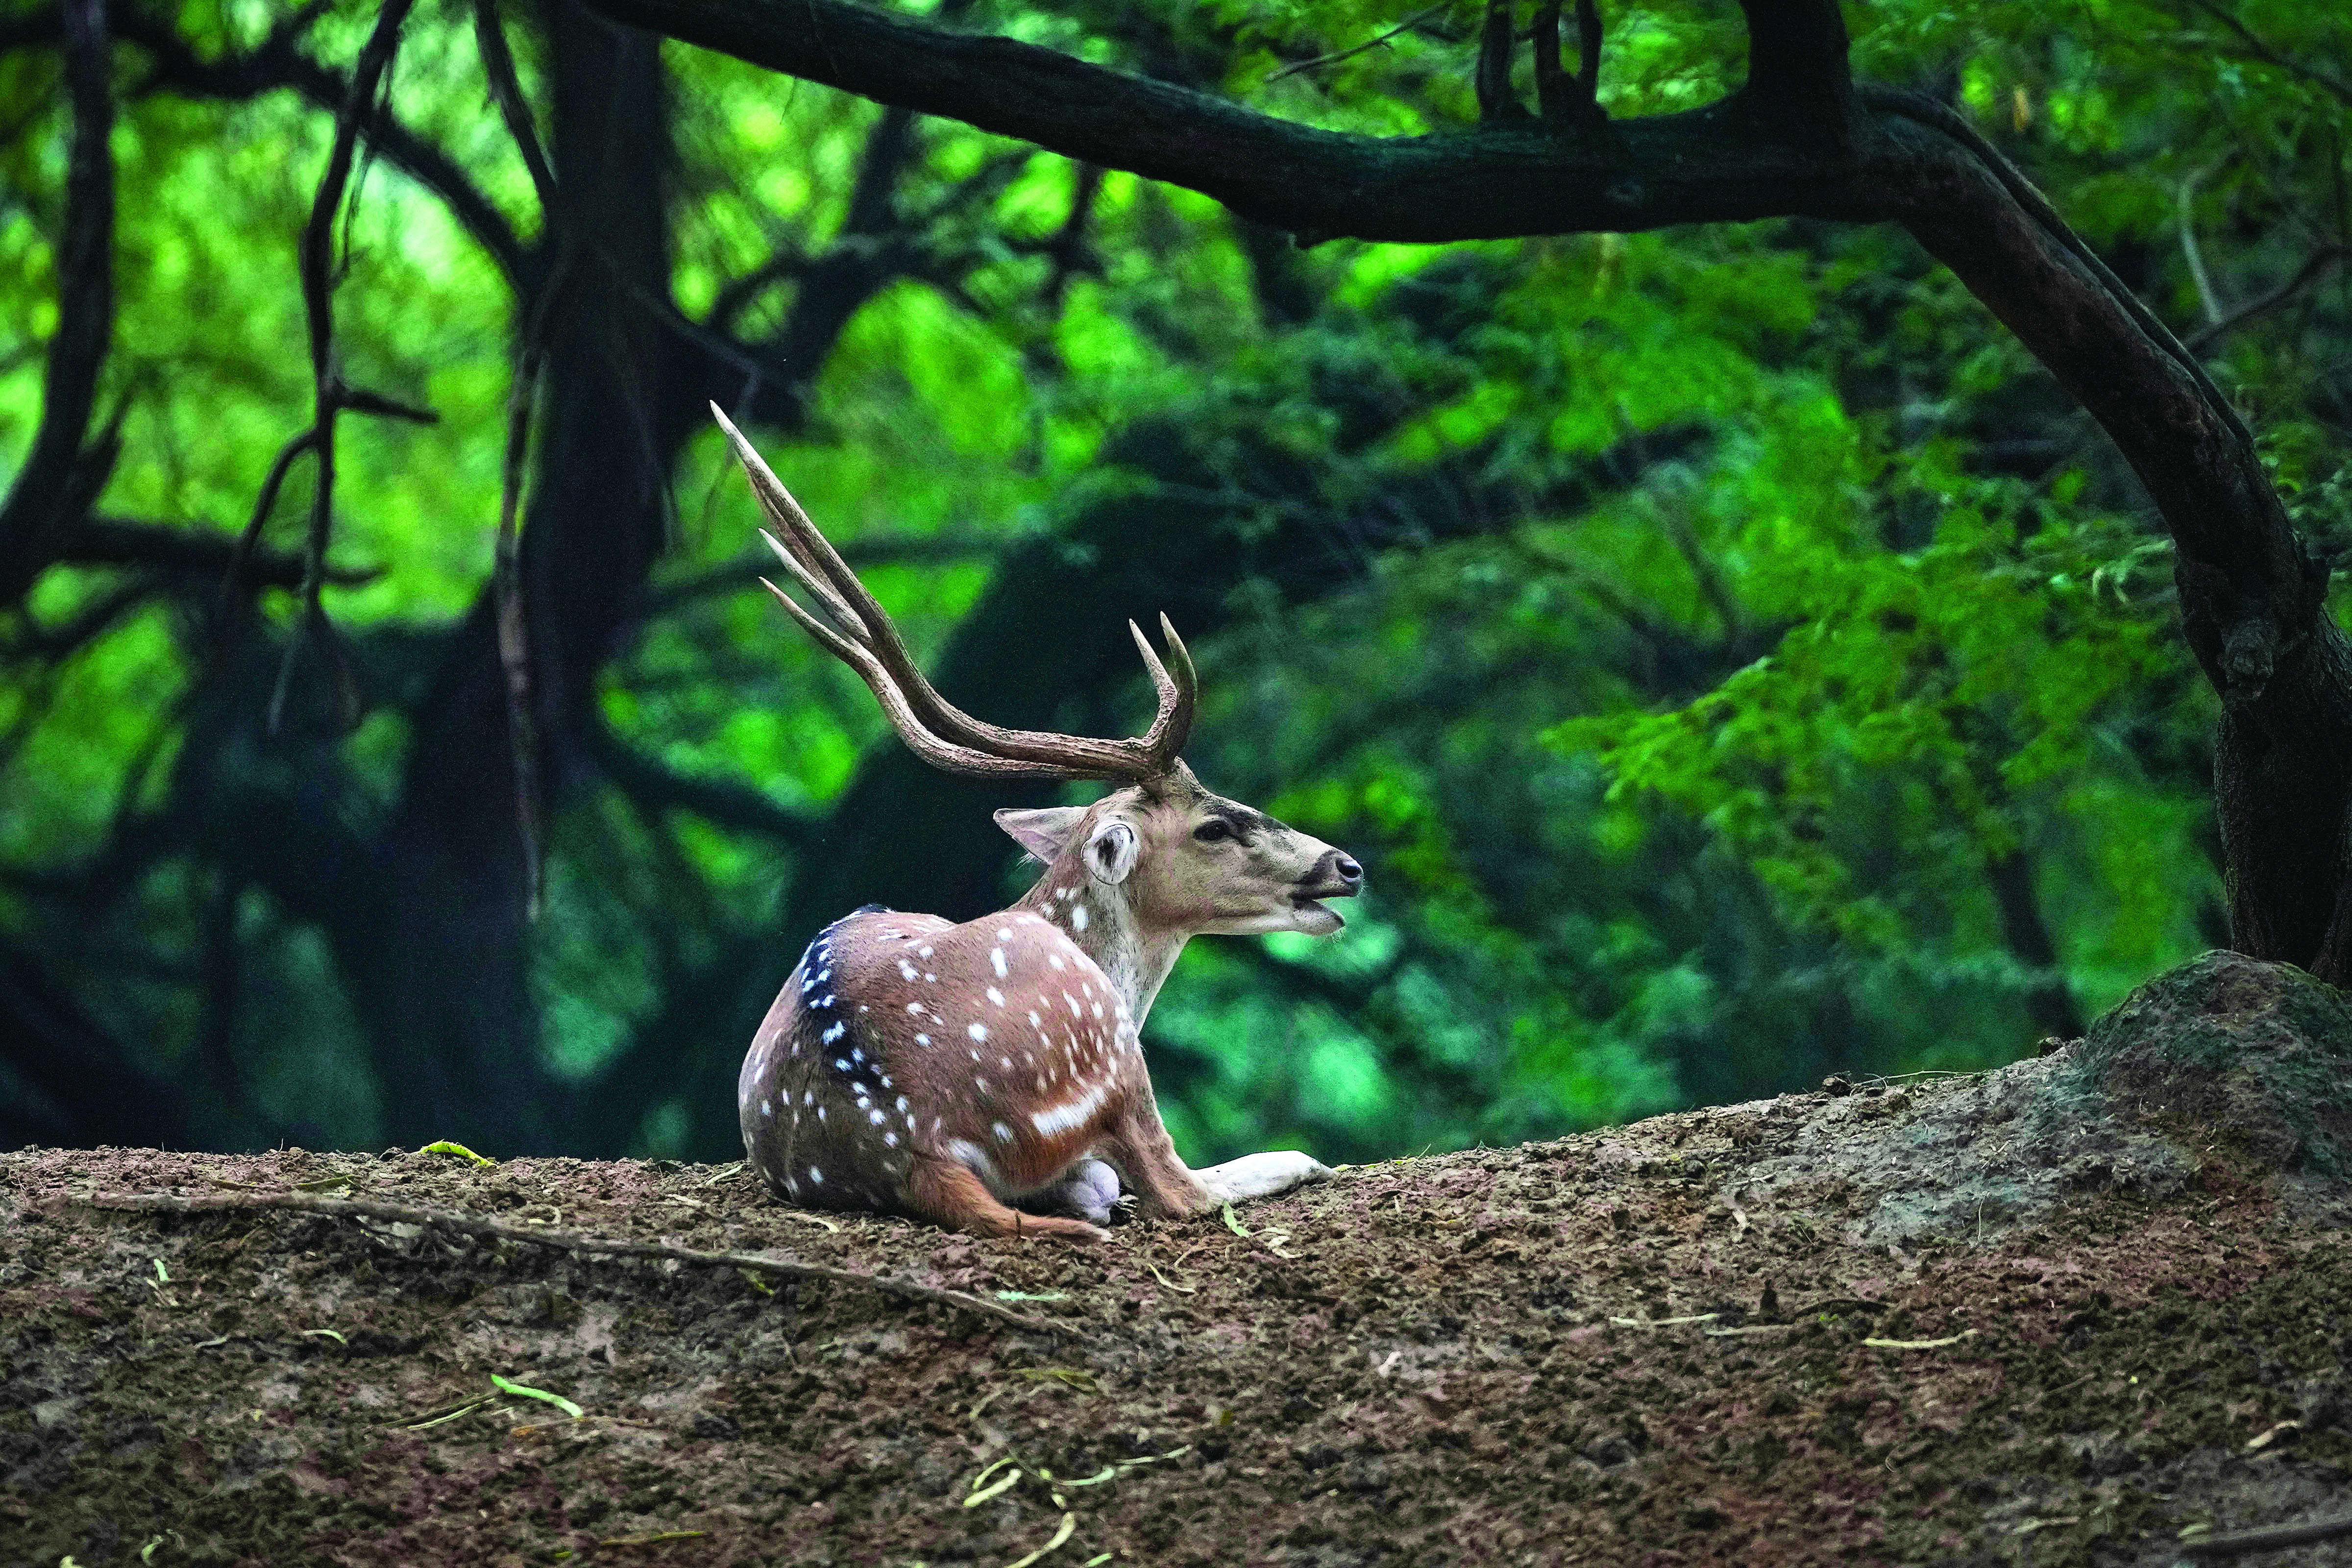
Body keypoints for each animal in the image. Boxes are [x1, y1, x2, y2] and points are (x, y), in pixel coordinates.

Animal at [715, 411, 1373, 1241]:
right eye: (1214, 827)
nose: (1347, 865)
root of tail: (914, 1146)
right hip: (1109, 1048)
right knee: (1177, 1186)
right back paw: (1298, 1160)